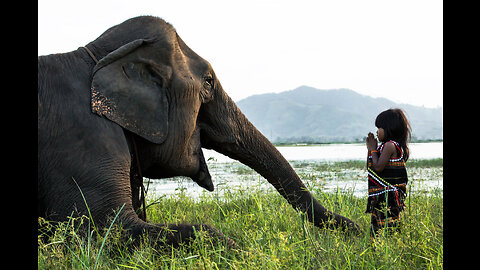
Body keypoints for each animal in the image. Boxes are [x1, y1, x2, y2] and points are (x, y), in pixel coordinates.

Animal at [37, 14, 360, 247]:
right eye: (208, 82)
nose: (358, 228)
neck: (93, 54)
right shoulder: (82, 137)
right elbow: (105, 229)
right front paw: (241, 252)